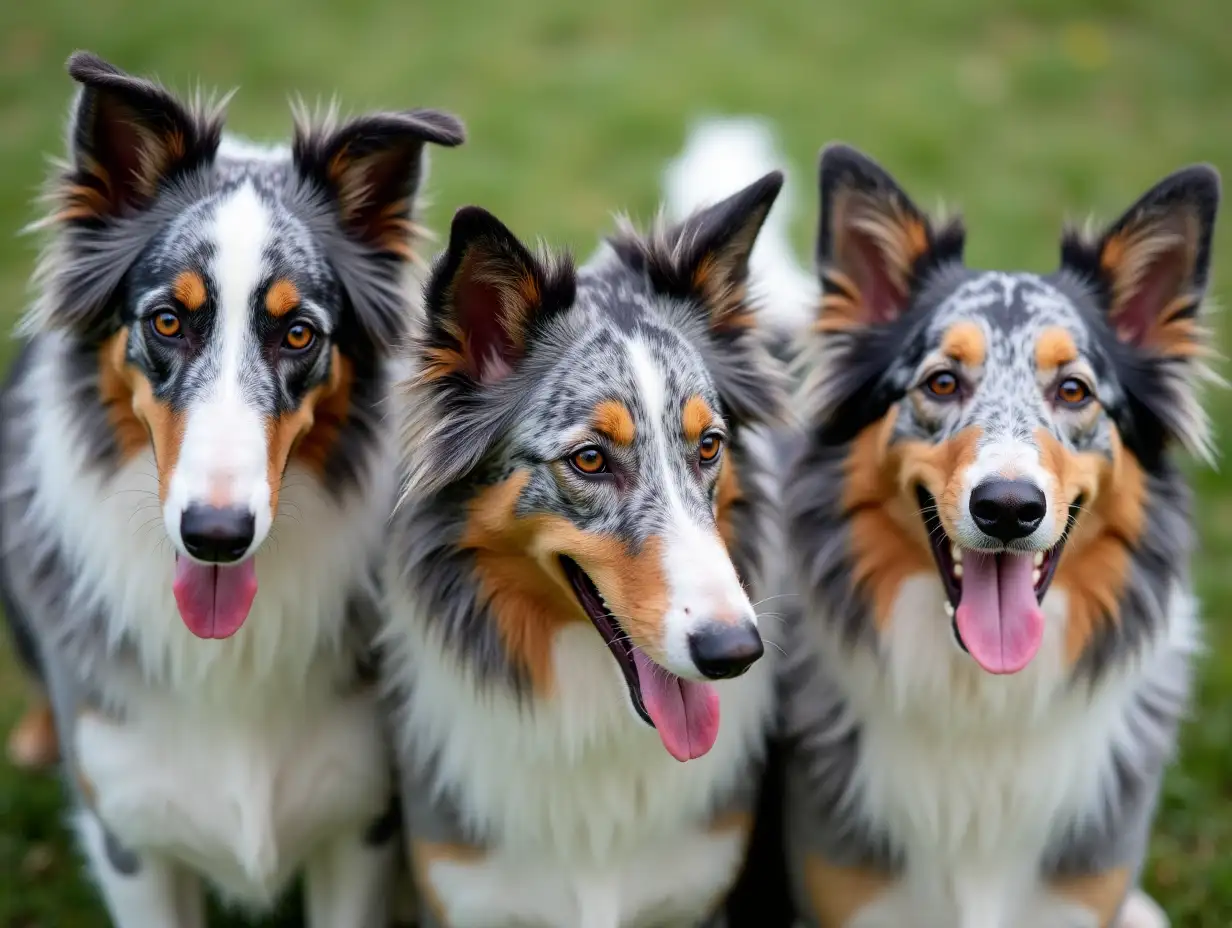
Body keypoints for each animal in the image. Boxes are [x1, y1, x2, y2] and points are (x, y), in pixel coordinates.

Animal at [1, 52, 463, 926]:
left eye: (299, 334)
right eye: (167, 322)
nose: (216, 536)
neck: (226, 650)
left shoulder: (361, 824)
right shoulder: (132, 840)